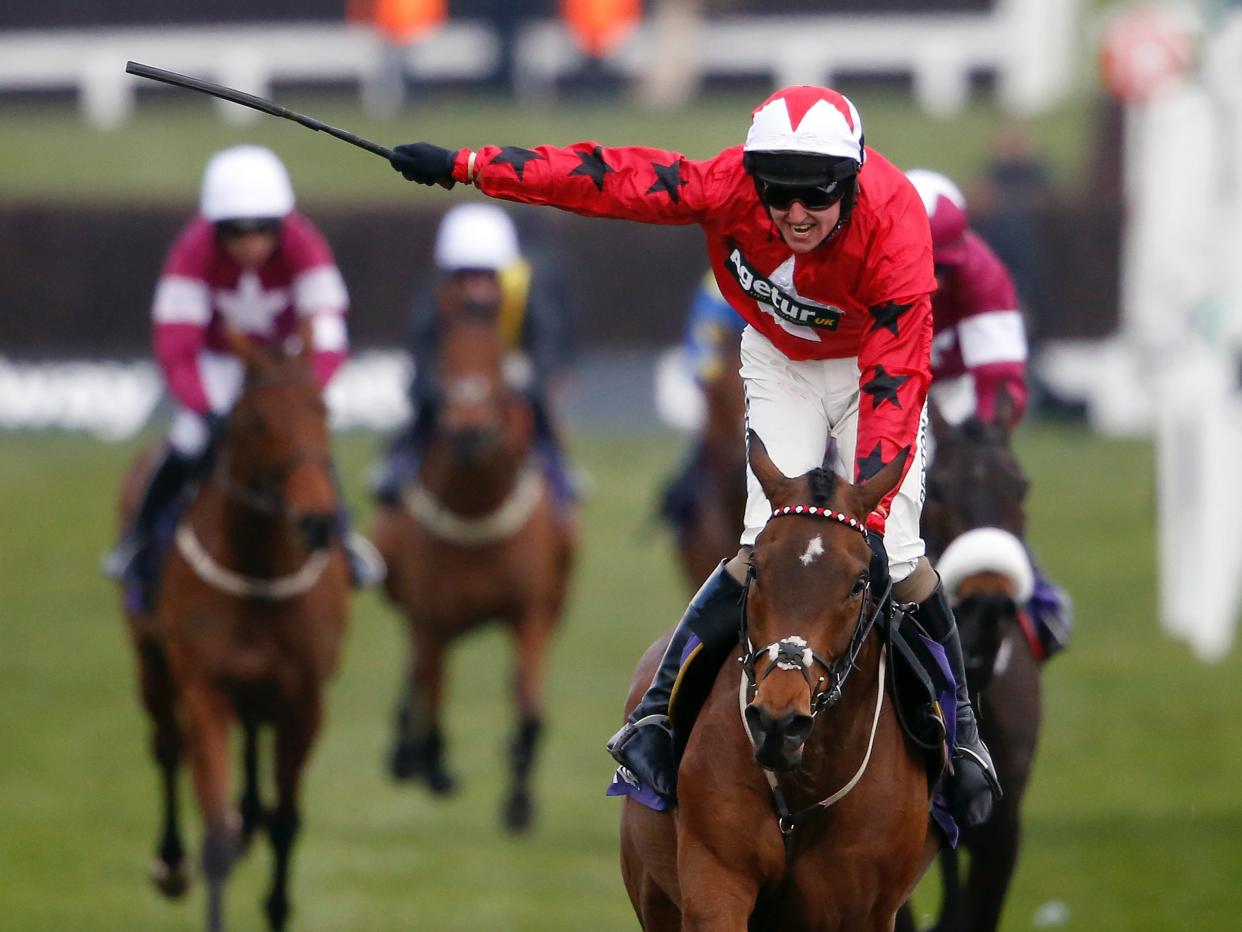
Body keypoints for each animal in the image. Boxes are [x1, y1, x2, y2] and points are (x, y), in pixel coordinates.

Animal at [115, 325, 350, 929]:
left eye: (323, 409)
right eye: (255, 420)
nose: (316, 520)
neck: (258, 567)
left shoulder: (304, 699)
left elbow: (287, 820)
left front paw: (277, 905)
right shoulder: (206, 690)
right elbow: (215, 830)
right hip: (151, 661)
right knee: (166, 746)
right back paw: (173, 861)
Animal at [372, 273, 576, 835]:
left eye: (498, 358)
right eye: (445, 351)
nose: (469, 427)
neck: (476, 510)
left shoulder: (530, 612)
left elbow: (529, 706)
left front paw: (519, 803)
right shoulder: (432, 618)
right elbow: (433, 697)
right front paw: (432, 766)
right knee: (417, 678)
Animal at [616, 434, 933, 929]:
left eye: (859, 582)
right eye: (755, 569)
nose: (777, 722)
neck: (807, 781)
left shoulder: (868, 907)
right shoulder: (715, 876)